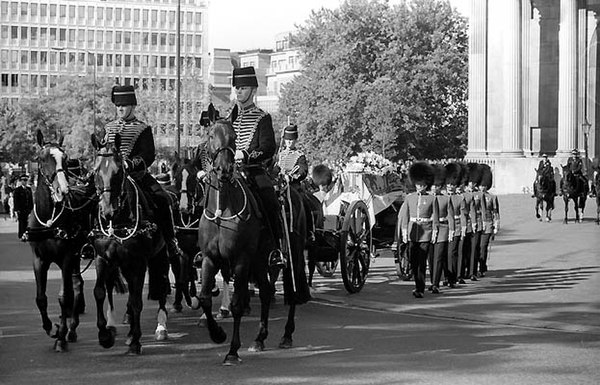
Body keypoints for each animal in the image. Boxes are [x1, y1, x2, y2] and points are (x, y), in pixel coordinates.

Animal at [26, 130, 96, 352]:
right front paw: (51, 328)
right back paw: (71, 328)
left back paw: (71, 329)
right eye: (42, 158)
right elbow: (41, 298)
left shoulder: (66, 257)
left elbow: (65, 297)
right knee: (77, 283)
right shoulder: (38, 260)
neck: (49, 219)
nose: (62, 190)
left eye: (64, 159)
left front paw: (60, 337)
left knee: (75, 287)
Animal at [91, 134, 171, 352]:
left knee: (161, 285)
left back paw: (161, 327)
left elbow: (136, 301)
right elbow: (99, 292)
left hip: (160, 256)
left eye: (119, 172)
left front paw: (135, 340)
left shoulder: (139, 261)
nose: (107, 211)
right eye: (95, 171)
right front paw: (104, 335)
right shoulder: (103, 258)